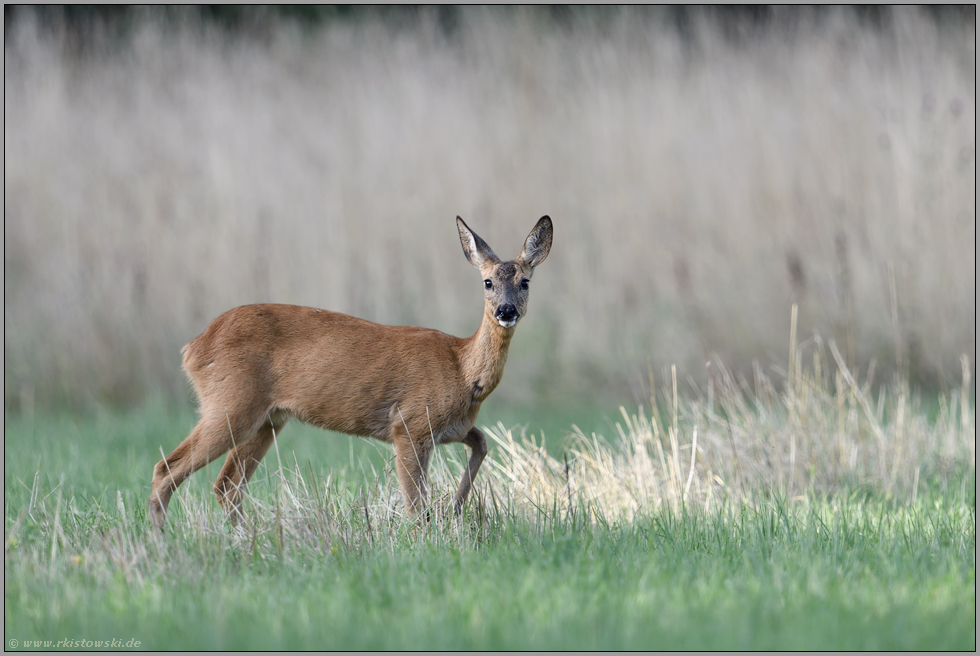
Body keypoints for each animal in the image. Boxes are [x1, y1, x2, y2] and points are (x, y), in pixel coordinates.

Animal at [150, 218, 556, 532]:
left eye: (525, 282)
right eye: (487, 282)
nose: (506, 310)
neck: (462, 370)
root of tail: (193, 348)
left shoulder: (452, 428)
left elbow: (483, 443)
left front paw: (455, 509)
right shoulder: (409, 424)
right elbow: (416, 506)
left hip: (267, 419)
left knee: (226, 486)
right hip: (231, 404)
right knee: (167, 468)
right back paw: (160, 540)